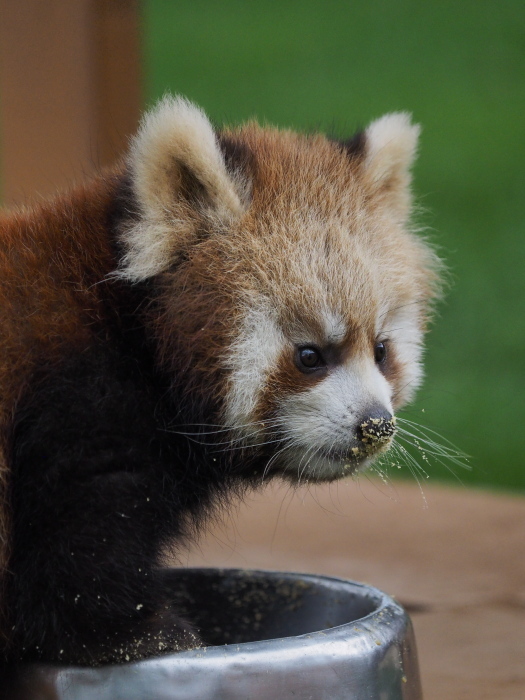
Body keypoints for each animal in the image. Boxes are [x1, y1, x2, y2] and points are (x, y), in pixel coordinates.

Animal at [0, 95, 440, 664]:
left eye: (382, 350)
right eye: (309, 355)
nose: (374, 424)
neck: (134, 336)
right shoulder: (76, 402)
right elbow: (77, 549)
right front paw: (139, 637)